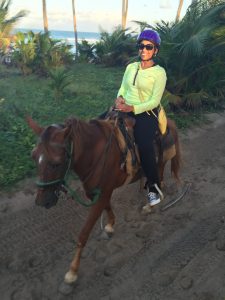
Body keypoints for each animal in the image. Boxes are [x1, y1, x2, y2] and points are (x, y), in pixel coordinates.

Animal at [27, 116, 181, 284]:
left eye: (56, 163)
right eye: (34, 156)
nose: (42, 201)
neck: (95, 153)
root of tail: (170, 123)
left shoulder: (102, 194)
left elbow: (84, 233)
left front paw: (73, 271)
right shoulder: (98, 193)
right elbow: (107, 207)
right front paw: (110, 226)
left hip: (159, 163)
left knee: (157, 180)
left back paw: (151, 204)